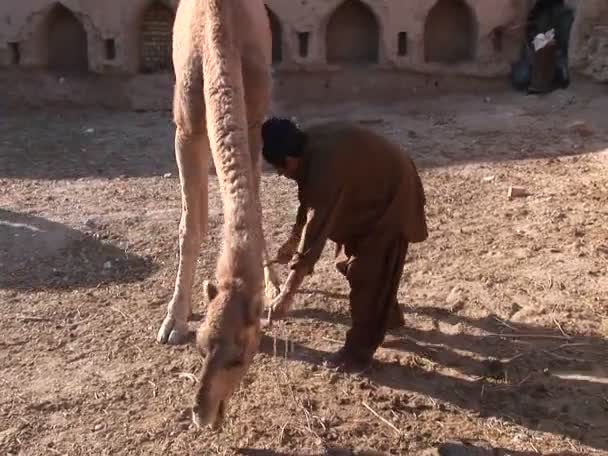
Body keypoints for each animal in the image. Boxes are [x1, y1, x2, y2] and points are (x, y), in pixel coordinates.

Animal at [156, 0, 282, 428]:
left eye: (239, 356)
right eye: (200, 346)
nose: (202, 413)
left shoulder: (255, 118)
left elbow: (256, 203)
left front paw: (273, 288)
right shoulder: (185, 127)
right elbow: (189, 225)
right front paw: (173, 321)